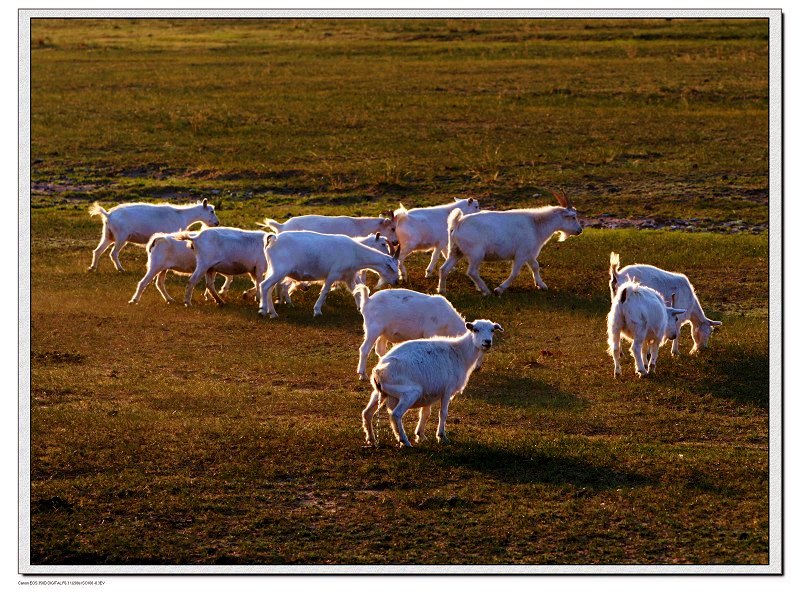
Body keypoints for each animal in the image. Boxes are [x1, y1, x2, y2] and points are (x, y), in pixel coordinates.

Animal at [88, 199, 219, 272]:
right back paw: (121, 269)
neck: (182, 215)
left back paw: (92, 268)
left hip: (108, 235)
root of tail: (108, 215)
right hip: (121, 236)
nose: (217, 223)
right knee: (113, 253)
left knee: (97, 251)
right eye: (211, 211)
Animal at [260, 230, 400, 320]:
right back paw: (263, 309)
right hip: (280, 270)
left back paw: (273, 313)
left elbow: (356, 291)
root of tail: (273, 239)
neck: (355, 252)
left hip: (275, 270)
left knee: (269, 288)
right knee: (264, 285)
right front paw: (317, 311)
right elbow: (325, 291)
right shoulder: (333, 274)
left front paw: (361, 308)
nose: (396, 282)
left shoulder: (348, 277)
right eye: (392, 268)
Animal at [362, 316, 500, 446]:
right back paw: (404, 441)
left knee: (367, 413)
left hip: (380, 392)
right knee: (395, 415)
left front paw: (421, 435)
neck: (460, 353)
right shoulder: (447, 389)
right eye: (475, 330)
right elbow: (443, 413)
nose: (487, 342)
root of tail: (378, 371)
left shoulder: (430, 391)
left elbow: (425, 413)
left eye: (492, 330)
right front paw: (441, 436)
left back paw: (371, 439)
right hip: (409, 391)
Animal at [438, 192, 580, 296]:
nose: (579, 230)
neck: (535, 225)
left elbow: (535, 266)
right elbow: (515, 273)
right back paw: (486, 290)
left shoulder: (529, 254)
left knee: (444, 268)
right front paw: (500, 288)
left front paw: (541, 285)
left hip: (455, 251)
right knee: (472, 272)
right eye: (573, 217)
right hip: (476, 254)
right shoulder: (521, 254)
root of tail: (457, 223)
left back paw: (442, 291)